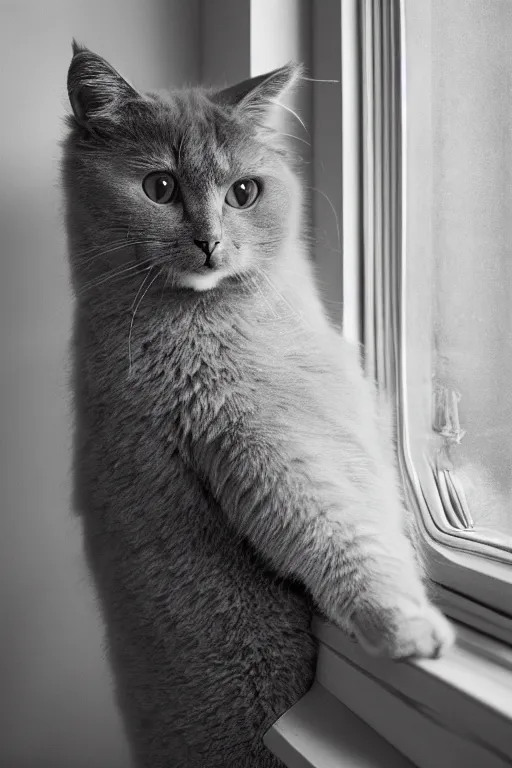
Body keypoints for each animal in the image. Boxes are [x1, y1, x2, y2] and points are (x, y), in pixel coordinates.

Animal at [63, 43, 452, 768]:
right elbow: (341, 535)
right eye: (159, 188)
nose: (211, 241)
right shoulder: (258, 446)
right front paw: (407, 626)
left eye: (243, 192)